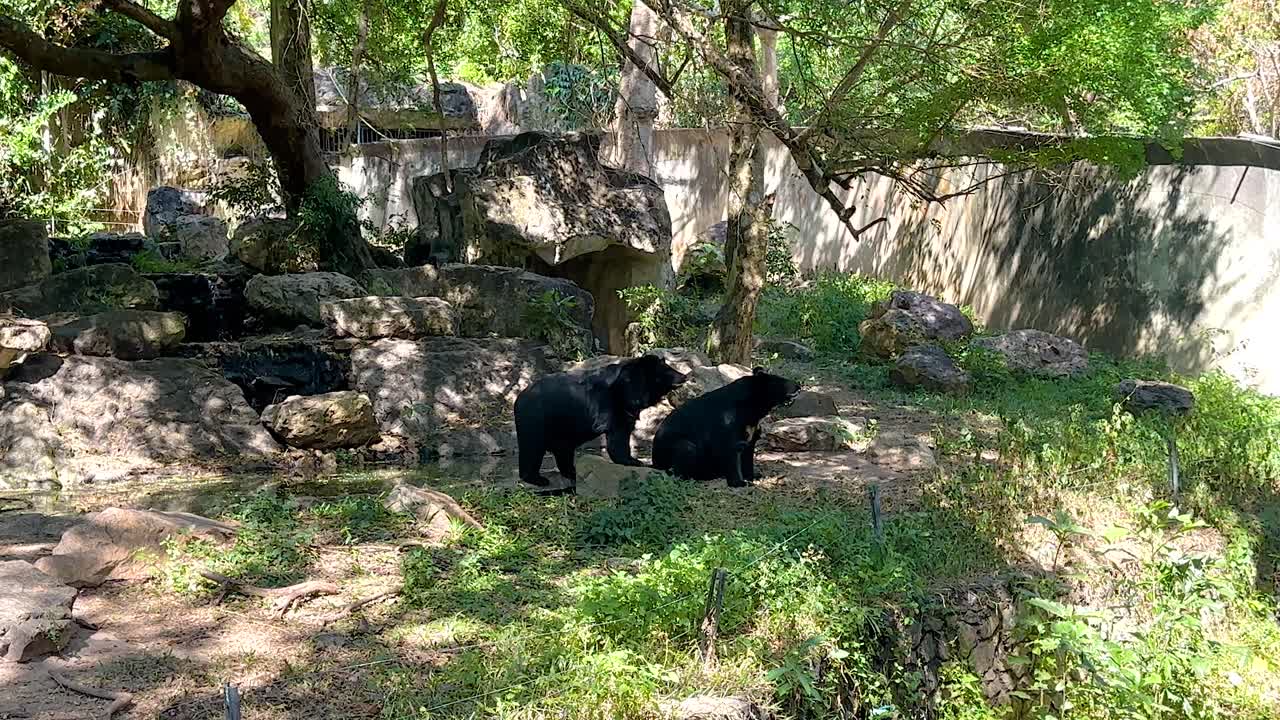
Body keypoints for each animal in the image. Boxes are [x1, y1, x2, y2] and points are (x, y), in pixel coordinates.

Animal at [514, 354, 689, 492]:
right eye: (669, 370)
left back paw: (571, 472)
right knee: (532, 447)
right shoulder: (616, 405)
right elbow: (618, 437)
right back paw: (537, 479)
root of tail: (519, 399)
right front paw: (635, 461)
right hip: (536, 419)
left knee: (562, 451)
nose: (684, 376)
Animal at [652, 367, 800, 487]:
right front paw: (740, 483)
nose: (798, 386)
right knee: (685, 451)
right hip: (677, 448)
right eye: (783, 382)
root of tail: (655, 461)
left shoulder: (751, 427)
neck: (753, 408)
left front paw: (752, 476)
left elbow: (748, 451)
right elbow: (732, 450)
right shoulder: (729, 422)